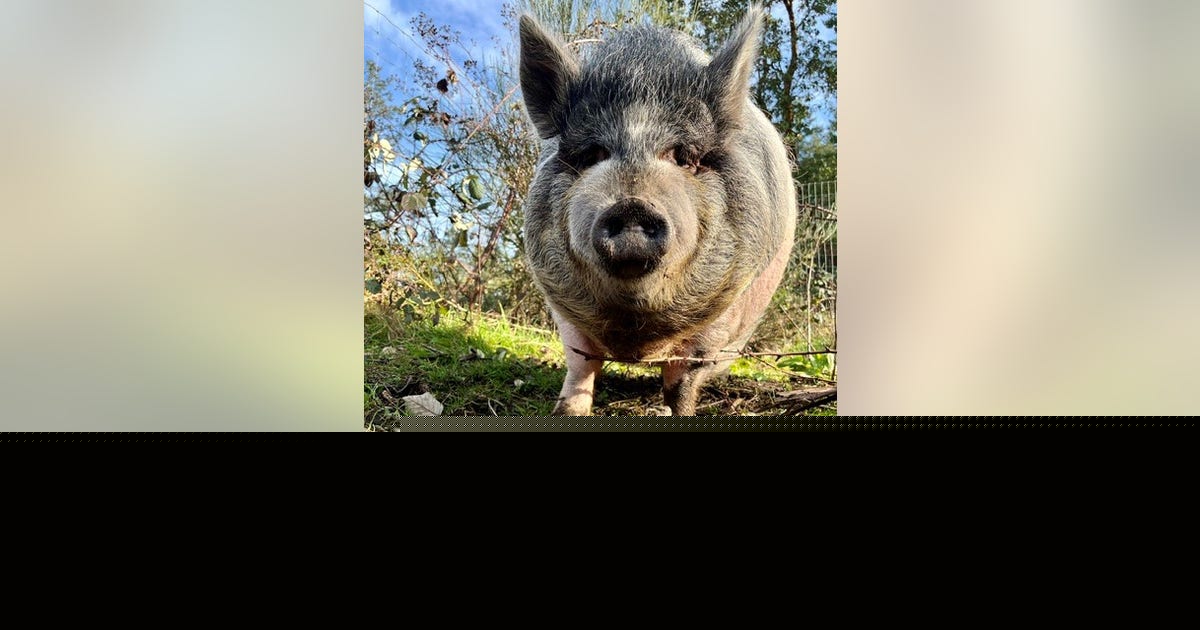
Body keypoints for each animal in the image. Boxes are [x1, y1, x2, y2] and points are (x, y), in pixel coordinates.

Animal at [518, 5, 796, 416]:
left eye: (683, 156)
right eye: (593, 154)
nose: (632, 205)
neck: (635, 336)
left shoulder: (722, 315)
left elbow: (680, 384)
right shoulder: (560, 303)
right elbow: (580, 364)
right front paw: (565, 412)